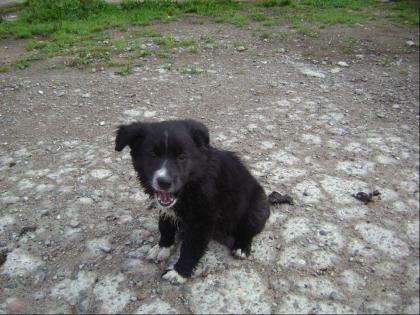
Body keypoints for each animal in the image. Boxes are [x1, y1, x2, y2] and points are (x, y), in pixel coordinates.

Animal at [115, 119, 270, 286]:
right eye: (153, 155)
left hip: (256, 210)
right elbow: (164, 226)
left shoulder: (202, 220)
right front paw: (163, 246)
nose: (164, 182)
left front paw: (179, 272)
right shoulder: (166, 209)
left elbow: (191, 248)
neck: (193, 182)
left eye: (182, 157)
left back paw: (242, 247)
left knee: (249, 231)